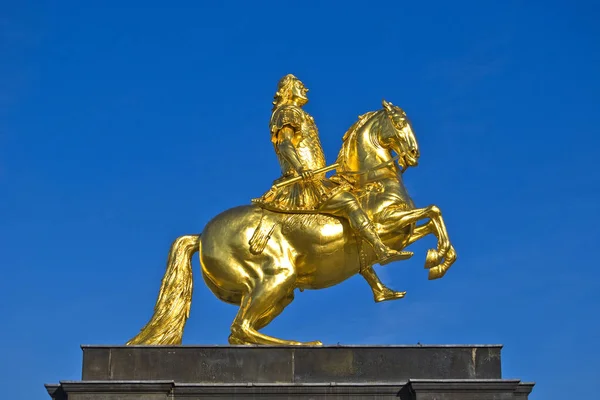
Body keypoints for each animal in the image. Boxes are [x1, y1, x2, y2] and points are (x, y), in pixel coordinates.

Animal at [126, 101, 454, 346]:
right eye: (399, 122)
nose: (414, 155)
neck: (372, 182)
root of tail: (201, 236)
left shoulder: (404, 233)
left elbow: (431, 221)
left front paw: (436, 260)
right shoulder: (385, 225)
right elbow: (432, 212)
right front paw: (434, 260)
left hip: (279, 293)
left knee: (240, 333)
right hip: (275, 278)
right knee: (241, 327)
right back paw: (304, 344)